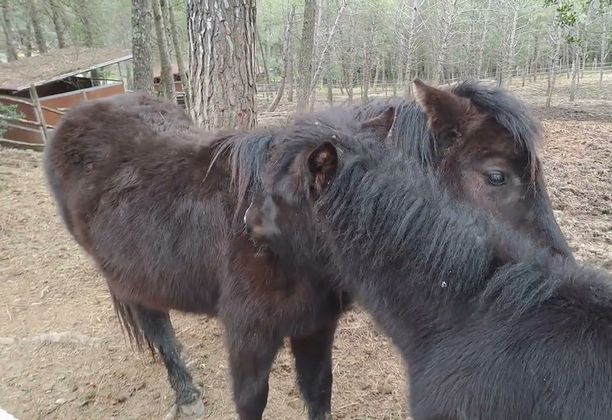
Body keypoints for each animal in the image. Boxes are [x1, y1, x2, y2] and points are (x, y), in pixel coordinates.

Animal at [43, 94, 392, 420]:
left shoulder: (316, 326)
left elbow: (319, 391)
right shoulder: (249, 335)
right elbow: (251, 400)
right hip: (131, 282)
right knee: (159, 330)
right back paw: (187, 395)